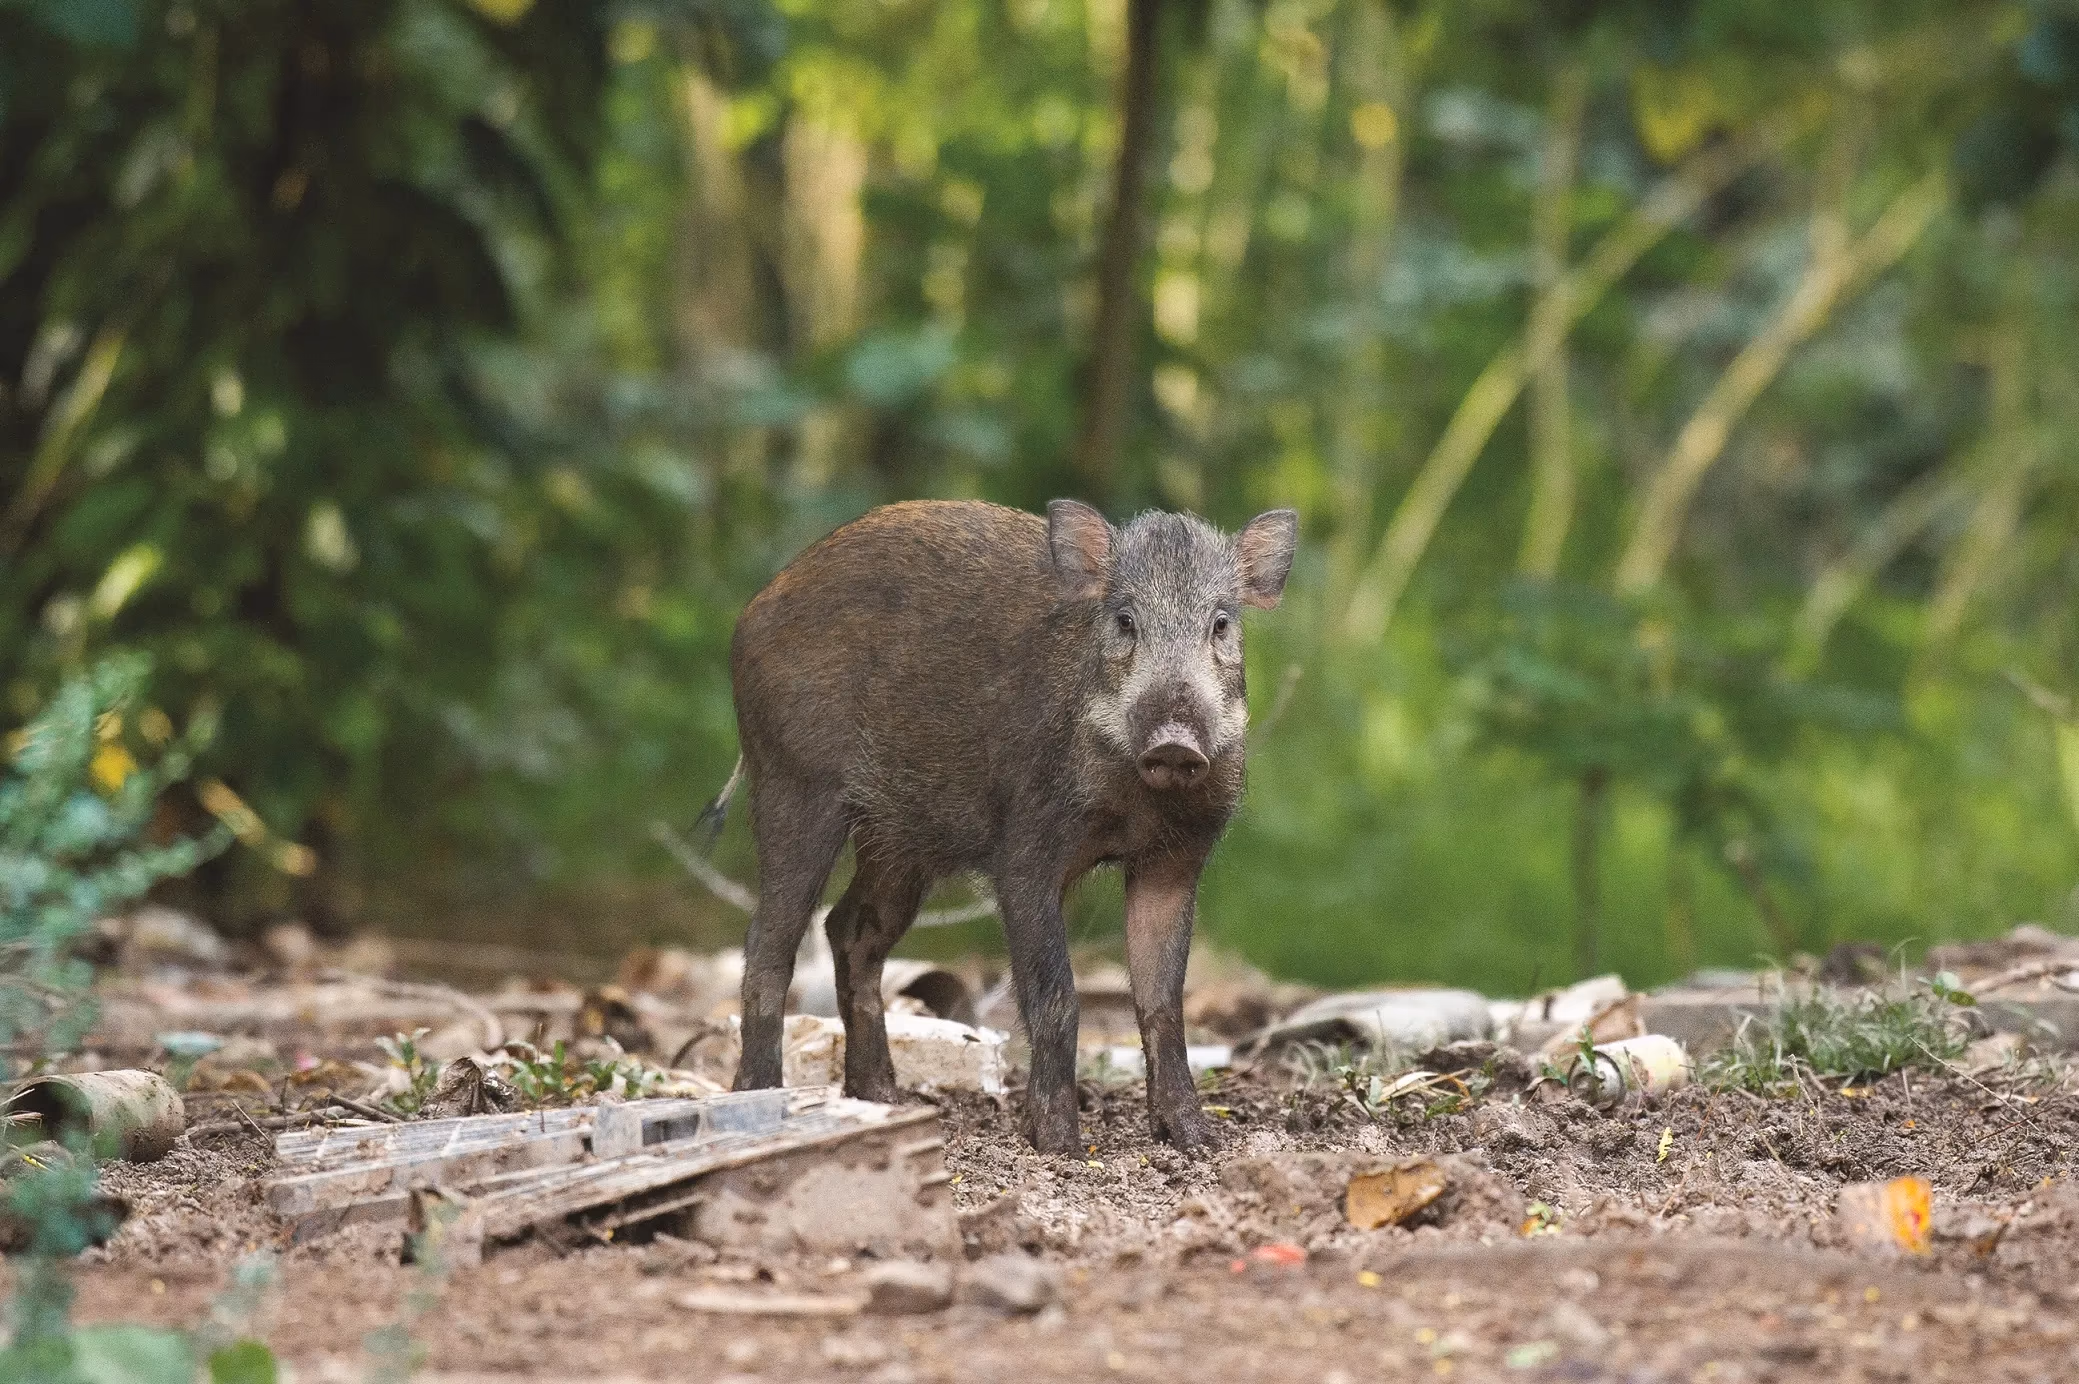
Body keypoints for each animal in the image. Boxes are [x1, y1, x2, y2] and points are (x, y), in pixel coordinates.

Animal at [714, 498, 1295, 1153]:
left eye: (1221, 623)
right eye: (1125, 620)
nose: (1174, 742)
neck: (1135, 804)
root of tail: (752, 611)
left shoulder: (1173, 862)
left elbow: (1162, 1002)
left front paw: (1197, 1139)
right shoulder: (1025, 853)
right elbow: (1056, 997)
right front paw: (1059, 1144)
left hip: (896, 841)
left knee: (849, 929)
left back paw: (885, 1100)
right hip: (794, 788)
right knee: (768, 944)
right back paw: (763, 1101)